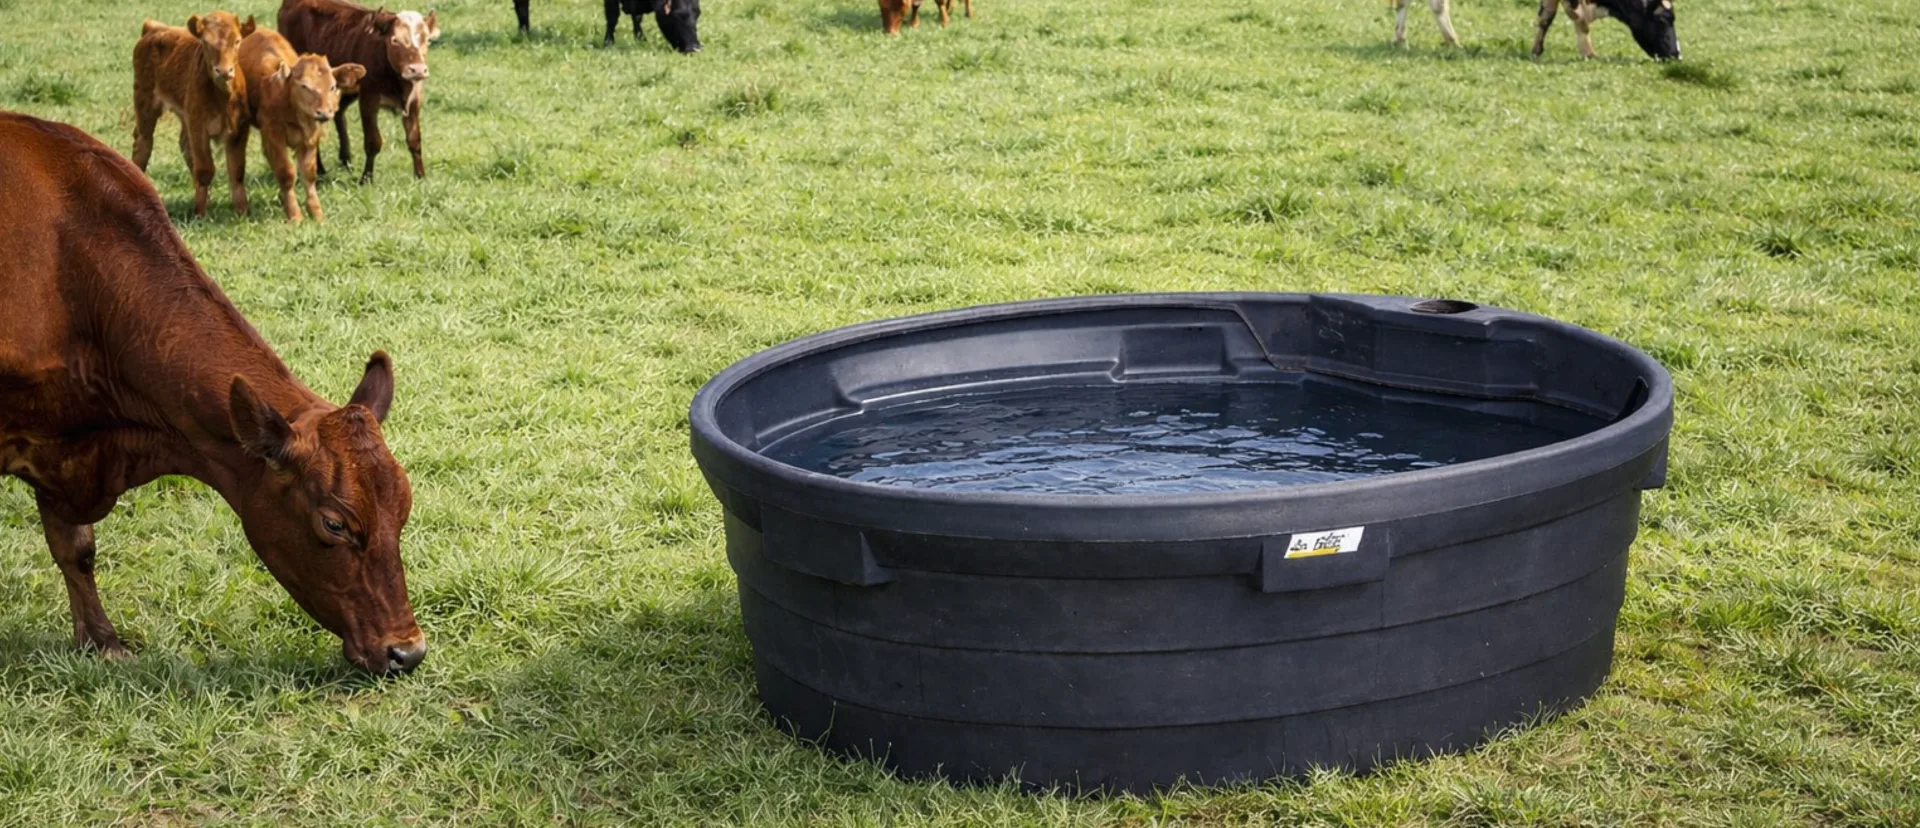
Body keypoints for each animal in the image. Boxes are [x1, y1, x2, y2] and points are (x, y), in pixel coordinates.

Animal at [0, 111, 426, 676]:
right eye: (334, 523)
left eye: (404, 506)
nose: (407, 650)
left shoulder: (63, 448)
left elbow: (75, 547)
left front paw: (101, 640)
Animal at [131, 12, 257, 218]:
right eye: (205, 42)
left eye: (237, 41)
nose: (224, 71)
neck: (221, 97)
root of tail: (154, 29)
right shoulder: (198, 126)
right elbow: (205, 169)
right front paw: (199, 214)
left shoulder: (239, 128)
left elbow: (237, 171)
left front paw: (242, 211)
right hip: (145, 103)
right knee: (143, 144)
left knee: (184, 146)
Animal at [237, 28, 366, 222]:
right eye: (304, 86)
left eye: (333, 86)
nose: (324, 112)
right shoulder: (273, 135)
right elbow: (286, 172)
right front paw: (294, 214)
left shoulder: (310, 137)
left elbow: (309, 172)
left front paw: (316, 213)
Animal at [277, 0, 440, 183]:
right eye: (395, 40)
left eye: (427, 39)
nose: (417, 70)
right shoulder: (369, 99)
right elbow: (373, 141)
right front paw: (366, 178)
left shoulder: (414, 101)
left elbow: (414, 140)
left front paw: (420, 176)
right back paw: (320, 170)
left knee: (339, 113)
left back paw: (345, 160)